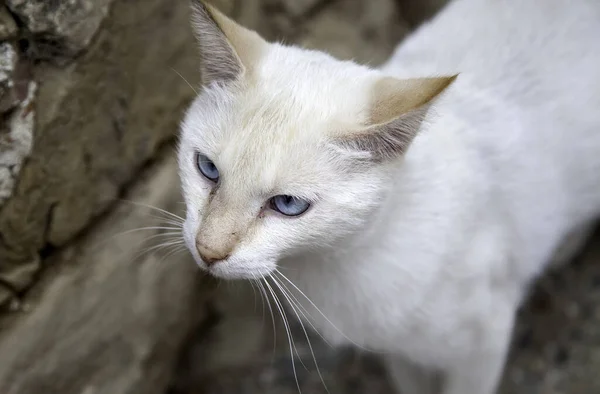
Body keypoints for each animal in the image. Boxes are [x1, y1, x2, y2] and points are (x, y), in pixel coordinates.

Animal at [177, 1, 600, 392]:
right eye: (207, 169)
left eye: (287, 205)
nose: (208, 251)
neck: (341, 260)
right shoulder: (398, 354)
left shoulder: (483, 344)